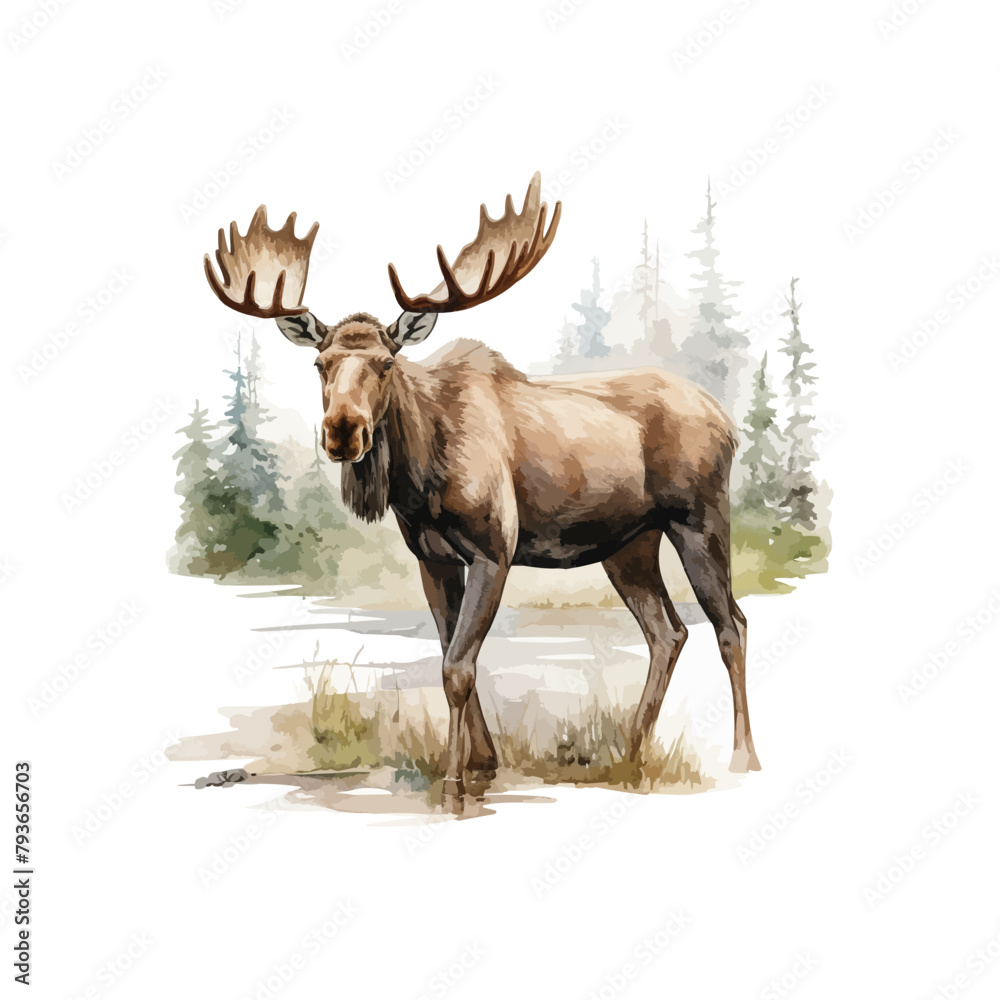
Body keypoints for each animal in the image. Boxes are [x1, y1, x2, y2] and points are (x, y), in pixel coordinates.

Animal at [203, 173, 759, 811]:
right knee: (668, 633)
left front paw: (454, 789)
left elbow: (458, 669)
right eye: (321, 363)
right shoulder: (433, 559)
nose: (343, 430)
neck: (419, 480)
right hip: (628, 545)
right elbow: (451, 657)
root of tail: (729, 421)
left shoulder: (496, 549)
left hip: (699, 520)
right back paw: (629, 754)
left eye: (387, 363)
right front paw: (483, 765)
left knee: (731, 625)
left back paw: (743, 757)